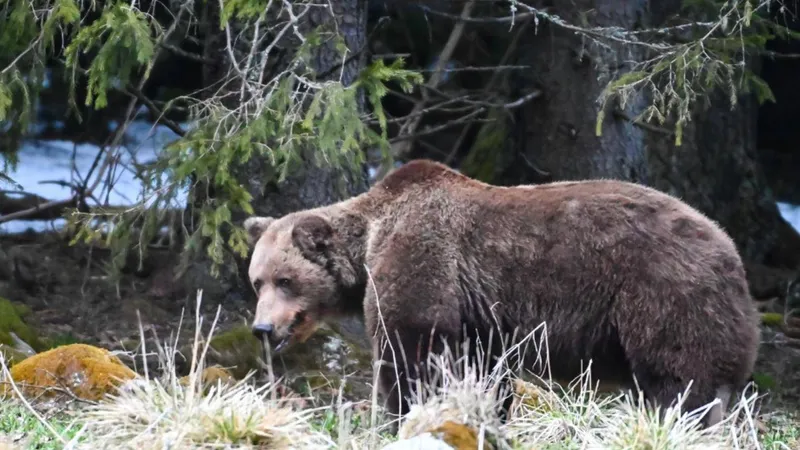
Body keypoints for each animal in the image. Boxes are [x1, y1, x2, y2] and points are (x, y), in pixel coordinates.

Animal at [244, 158, 764, 428]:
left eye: (286, 280)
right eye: (257, 280)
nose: (262, 327)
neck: (369, 239)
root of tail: (730, 251)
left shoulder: (422, 260)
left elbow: (409, 350)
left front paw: (398, 417)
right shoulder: (479, 319)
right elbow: (484, 373)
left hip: (664, 293)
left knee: (680, 380)